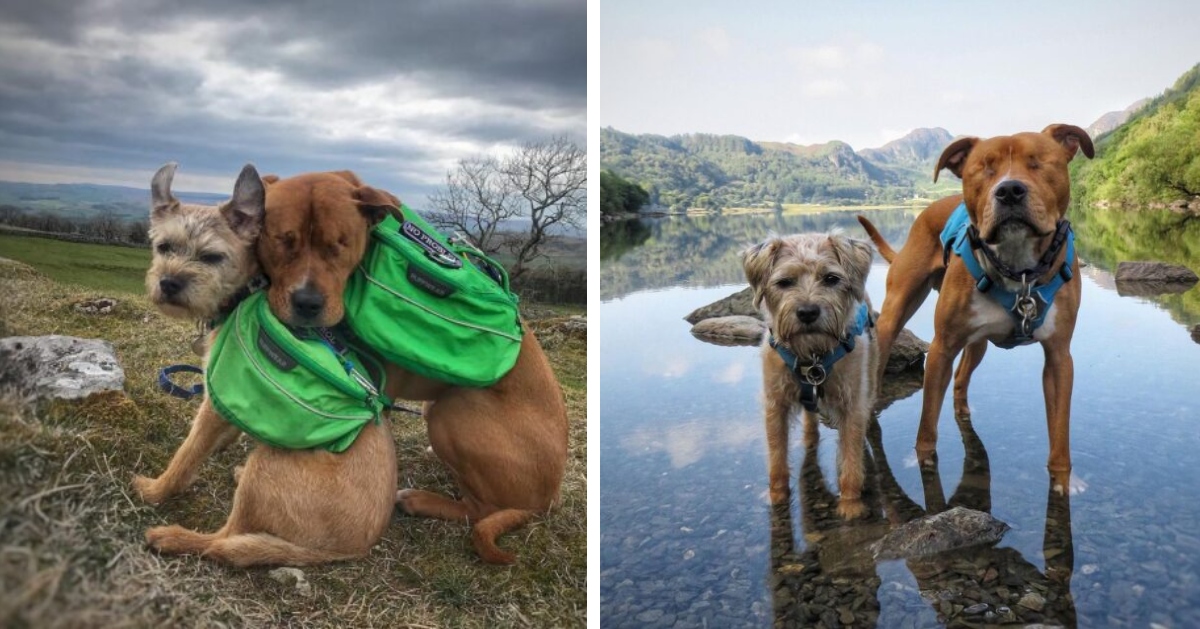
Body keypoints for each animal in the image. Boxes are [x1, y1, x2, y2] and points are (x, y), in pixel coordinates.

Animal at [254, 169, 571, 561]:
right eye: (283, 241)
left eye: (340, 244)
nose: (308, 303)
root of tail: (547, 500)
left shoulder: (376, 389)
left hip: (454, 410)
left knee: (480, 509)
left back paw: (421, 500)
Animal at [859, 125, 1094, 494]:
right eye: (984, 168)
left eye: (1038, 162)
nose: (1010, 191)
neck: (1019, 272)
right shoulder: (941, 349)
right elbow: (927, 425)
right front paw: (923, 463)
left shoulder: (1059, 358)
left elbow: (1060, 434)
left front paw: (1063, 480)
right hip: (896, 313)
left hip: (978, 343)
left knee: (961, 378)